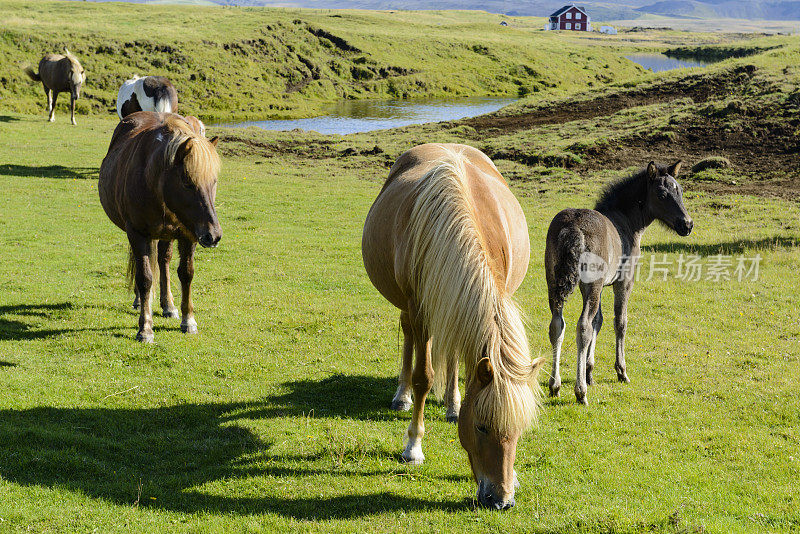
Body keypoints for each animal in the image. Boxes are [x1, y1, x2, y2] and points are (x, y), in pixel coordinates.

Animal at [98, 112, 222, 344]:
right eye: (187, 181)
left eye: (214, 181)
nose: (213, 235)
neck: (153, 179)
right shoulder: (137, 234)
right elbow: (145, 278)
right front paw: (145, 328)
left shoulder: (189, 234)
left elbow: (186, 273)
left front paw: (188, 320)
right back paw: (140, 301)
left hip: (167, 235)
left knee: (164, 261)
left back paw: (169, 305)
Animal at [362, 143, 544, 510]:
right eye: (482, 427)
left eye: (519, 431)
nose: (501, 500)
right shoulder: (419, 309)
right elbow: (423, 376)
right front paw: (413, 446)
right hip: (410, 310)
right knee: (409, 340)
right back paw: (402, 396)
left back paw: (452, 404)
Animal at [544, 161, 692, 404]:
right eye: (661, 194)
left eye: (680, 190)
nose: (687, 225)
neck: (626, 222)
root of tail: (573, 227)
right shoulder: (623, 281)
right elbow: (619, 322)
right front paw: (621, 371)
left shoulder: (596, 286)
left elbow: (599, 321)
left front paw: (589, 372)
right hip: (590, 285)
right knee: (582, 327)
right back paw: (580, 392)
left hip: (555, 282)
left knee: (557, 324)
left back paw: (555, 385)